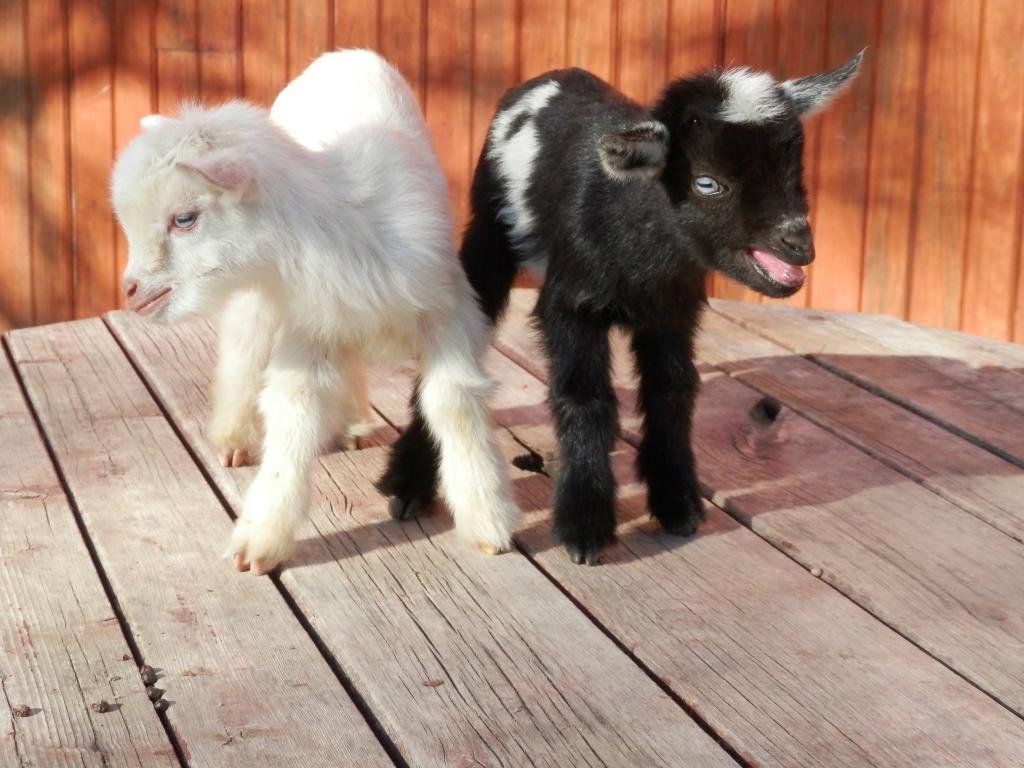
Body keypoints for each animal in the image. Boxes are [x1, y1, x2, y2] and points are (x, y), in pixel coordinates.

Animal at [111, 50, 518, 575]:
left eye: (185, 219)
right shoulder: (308, 327)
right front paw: (258, 541)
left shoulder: (445, 312)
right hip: (260, 300)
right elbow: (293, 415)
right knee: (244, 343)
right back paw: (236, 436)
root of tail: (341, 54)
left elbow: (453, 402)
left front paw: (488, 521)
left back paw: (350, 423)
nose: (131, 291)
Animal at [379, 52, 863, 564]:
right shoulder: (571, 305)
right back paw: (406, 485)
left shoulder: (673, 311)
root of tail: (552, 75)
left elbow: (672, 391)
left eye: (793, 175)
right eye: (707, 182)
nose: (799, 245)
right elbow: (585, 397)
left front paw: (676, 503)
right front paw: (584, 527)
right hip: (488, 226)